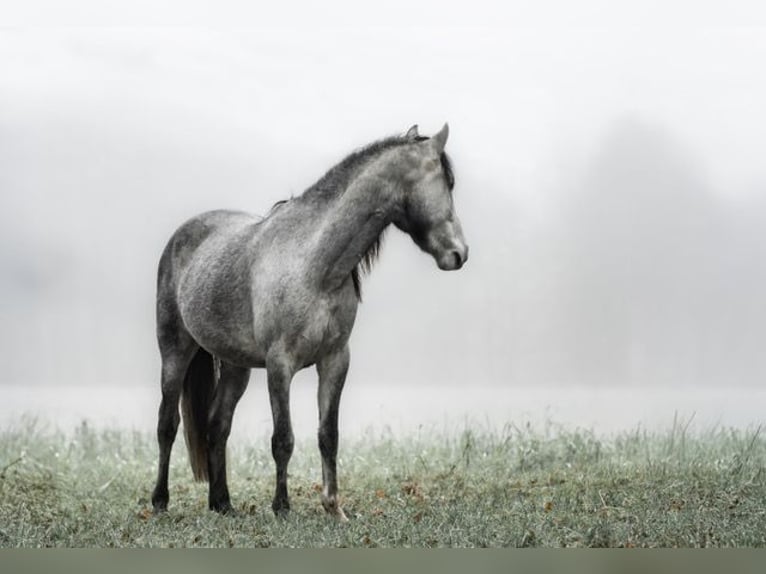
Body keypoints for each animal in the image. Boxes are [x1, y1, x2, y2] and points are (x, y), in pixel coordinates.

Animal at [152, 124, 468, 520]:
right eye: (449, 182)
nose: (459, 253)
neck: (316, 265)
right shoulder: (279, 365)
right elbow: (283, 439)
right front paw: (282, 508)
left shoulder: (335, 360)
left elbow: (328, 436)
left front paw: (334, 508)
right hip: (175, 352)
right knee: (167, 425)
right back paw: (160, 502)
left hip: (236, 366)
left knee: (217, 426)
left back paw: (222, 503)